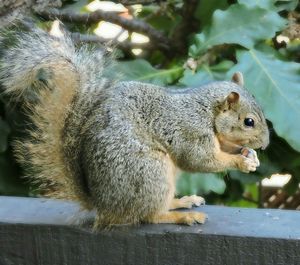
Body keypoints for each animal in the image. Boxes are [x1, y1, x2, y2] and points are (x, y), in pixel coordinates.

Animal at [0, 28, 270, 227]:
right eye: (249, 122)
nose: (266, 144)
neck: (206, 112)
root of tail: (103, 205)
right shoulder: (190, 131)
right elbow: (200, 160)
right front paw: (240, 161)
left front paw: (249, 155)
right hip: (150, 171)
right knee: (149, 215)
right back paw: (181, 216)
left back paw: (181, 202)